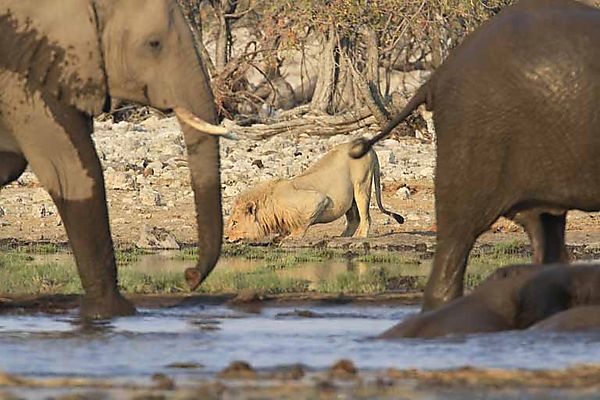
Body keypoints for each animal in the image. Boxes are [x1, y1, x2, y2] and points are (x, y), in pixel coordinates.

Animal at [225, 141, 404, 242]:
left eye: (234, 223)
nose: (225, 237)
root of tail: (371, 149)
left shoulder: (317, 200)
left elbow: (302, 223)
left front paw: (292, 237)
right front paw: (280, 236)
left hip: (362, 185)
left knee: (366, 217)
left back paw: (359, 237)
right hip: (351, 197)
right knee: (354, 219)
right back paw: (341, 237)